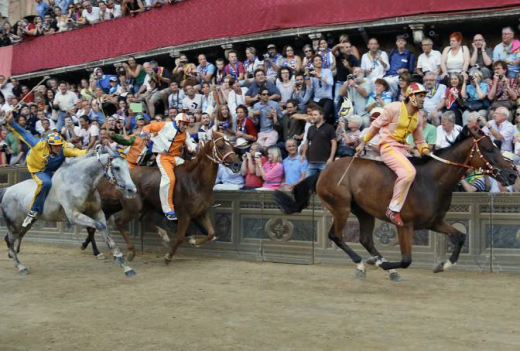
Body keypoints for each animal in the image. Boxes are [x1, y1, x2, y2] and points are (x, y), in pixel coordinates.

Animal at [0, 148, 138, 278]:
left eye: (128, 167)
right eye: (116, 167)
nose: (132, 190)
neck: (79, 182)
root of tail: (7, 190)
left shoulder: (97, 213)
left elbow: (105, 231)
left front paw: (125, 266)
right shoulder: (74, 216)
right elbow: (100, 227)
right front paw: (118, 257)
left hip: (26, 223)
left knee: (14, 238)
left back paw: (13, 255)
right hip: (13, 223)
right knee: (10, 239)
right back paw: (20, 266)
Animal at [83, 132, 242, 264]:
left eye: (232, 146)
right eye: (221, 146)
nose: (237, 163)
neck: (196, 181)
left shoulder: (202, 212)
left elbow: (211, 232)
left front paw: (195, 241)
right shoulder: (184, 214)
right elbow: (179, 237)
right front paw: (168, 256)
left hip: (141, 205)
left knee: (141, 219)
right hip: (131, 206)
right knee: (117, 222)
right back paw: (128, 252)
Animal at [274, 128, 516, 282]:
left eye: (496, 145)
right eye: (488, 148)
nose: (512, 173)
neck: (431, 181)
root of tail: (323, 171)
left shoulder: (435, 222)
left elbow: (461, 236)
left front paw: (442, 265)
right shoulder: (404, 225)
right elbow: (407, 260)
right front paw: (384, 265)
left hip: (364, 212)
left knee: (365, 239)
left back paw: (380, 264)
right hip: (341, 207)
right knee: (336, 235)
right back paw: (364, 264)